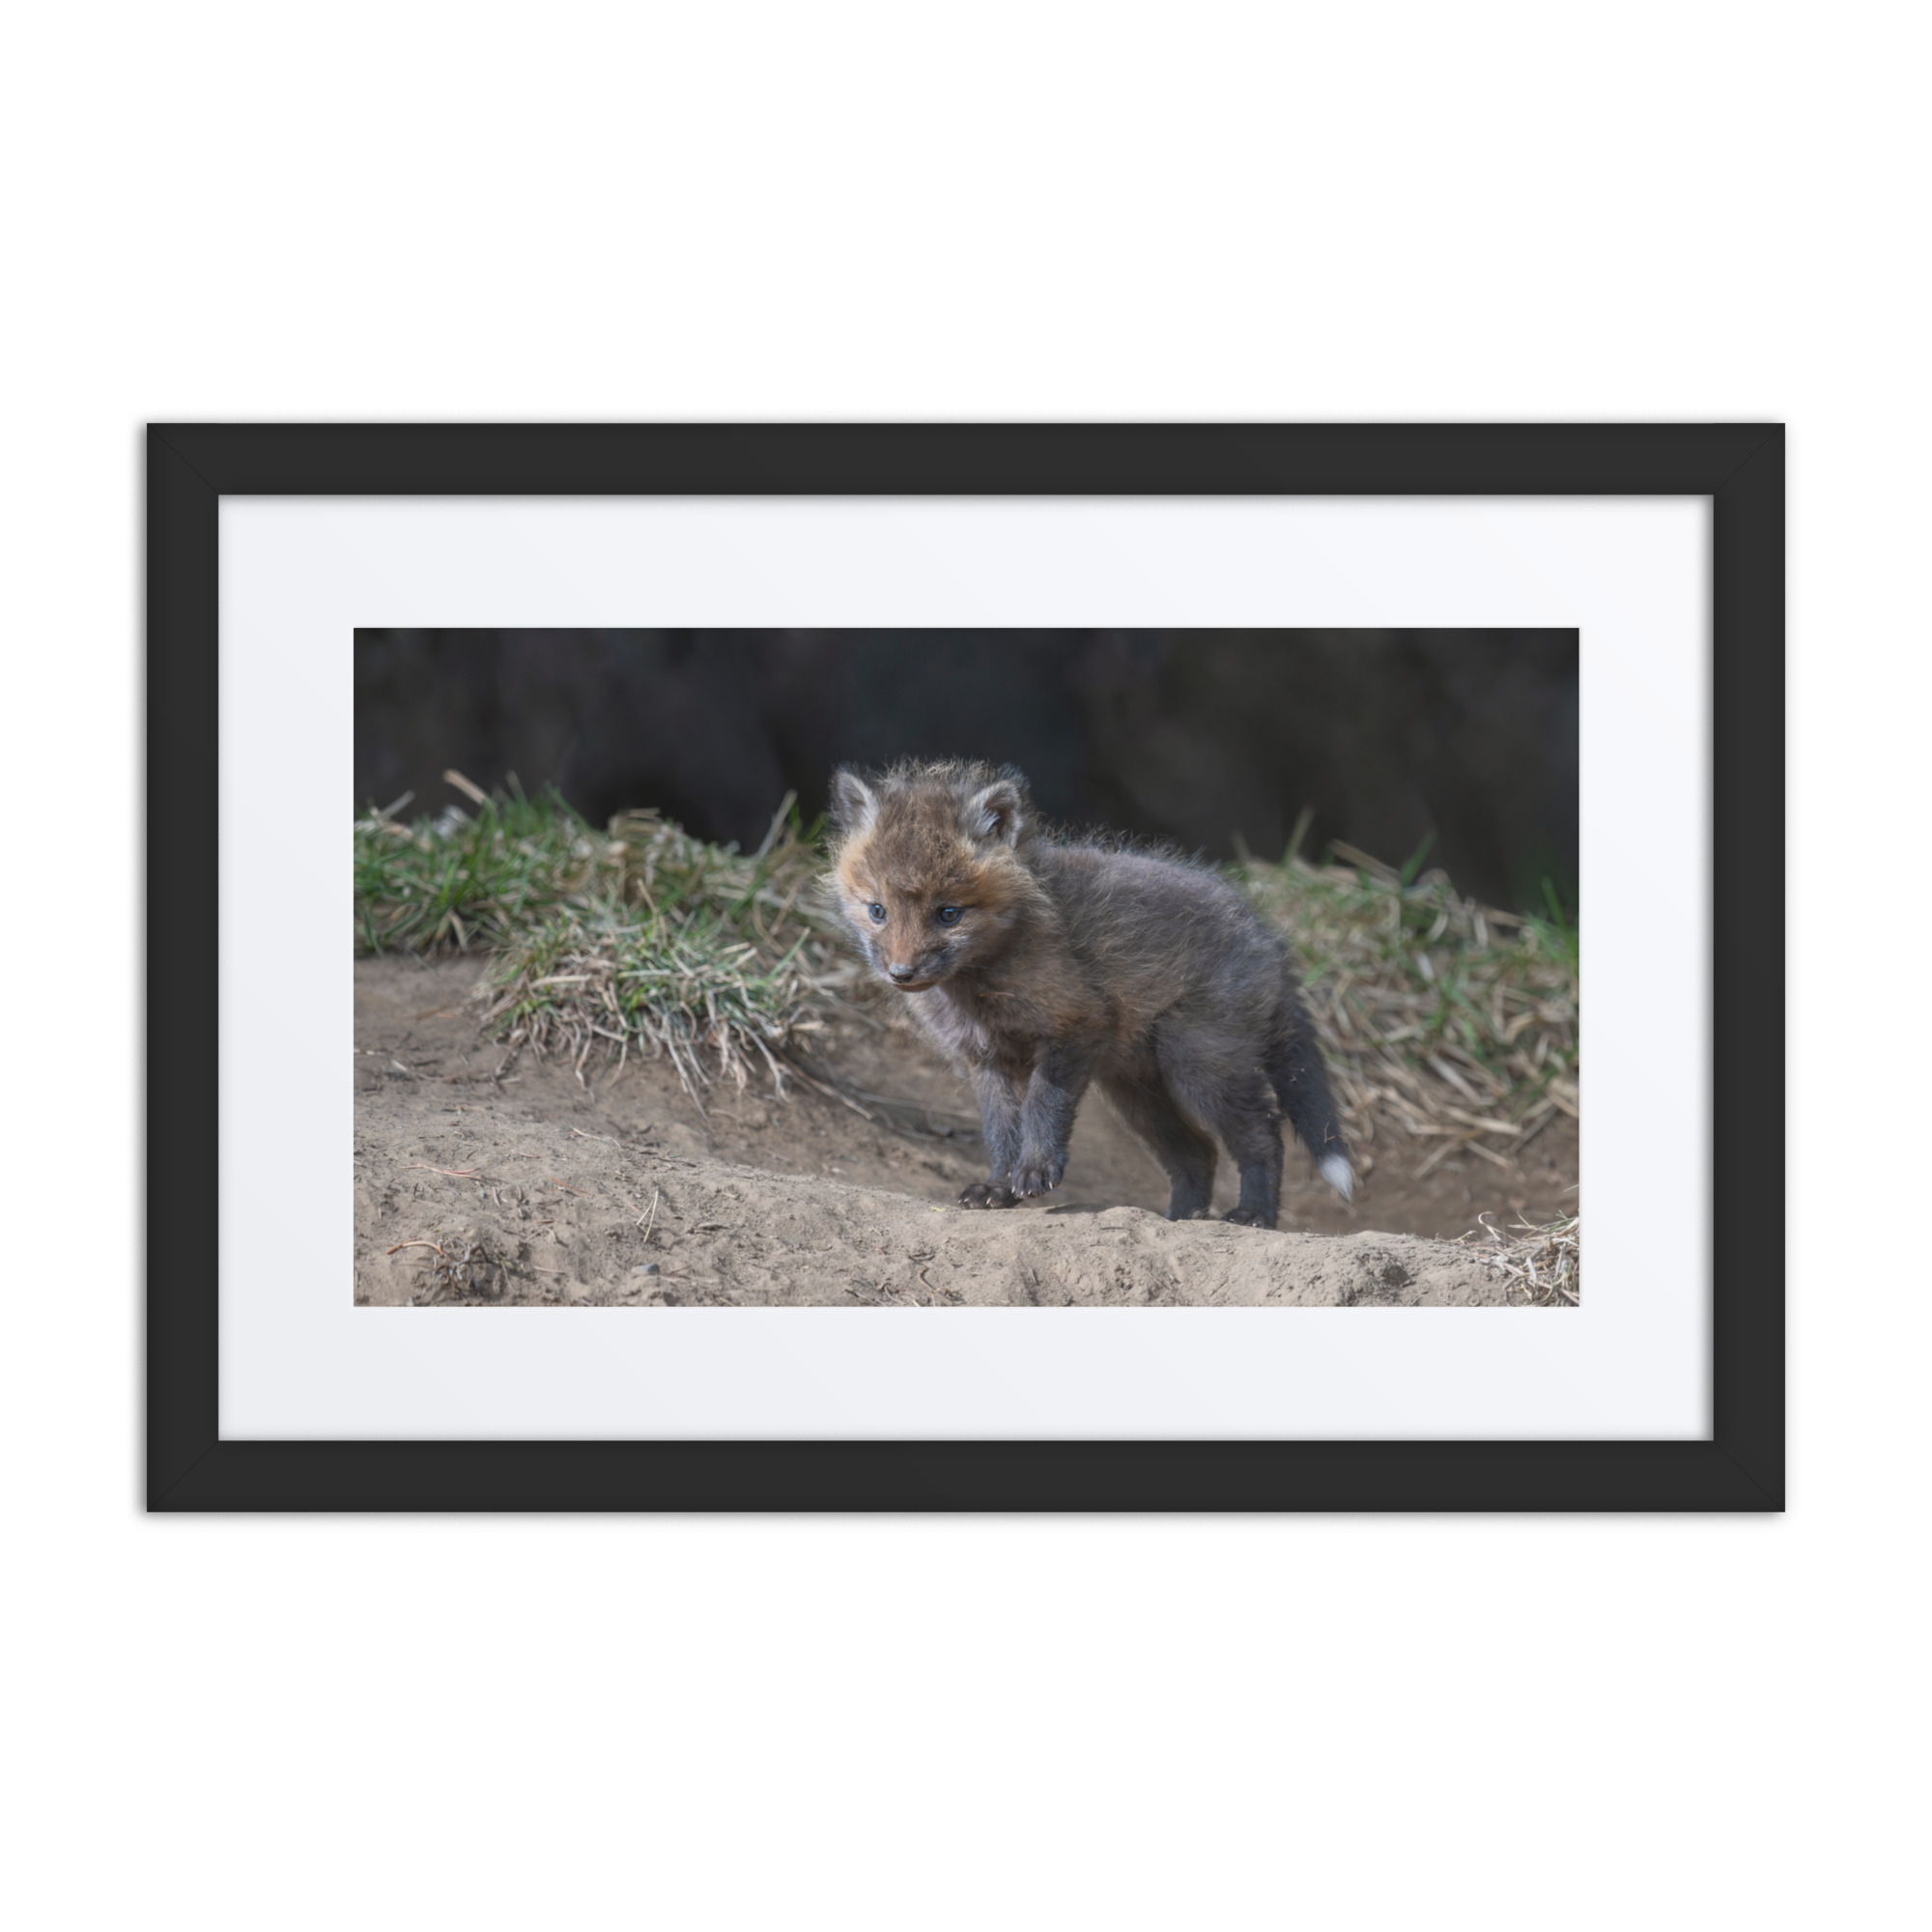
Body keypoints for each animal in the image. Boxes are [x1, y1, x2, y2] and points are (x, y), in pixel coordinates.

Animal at [826, 759, 1354, 1227]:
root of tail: (1268, 938)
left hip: (1199, 1066)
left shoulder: (1076, 1025)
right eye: (877, 911)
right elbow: (1000, 1131)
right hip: (1137, 1092)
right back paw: (1182, 1219)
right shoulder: (986, 1059)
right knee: (1198, 1152)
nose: (901, 973)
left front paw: (1036, 1171)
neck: (980, 988)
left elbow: (1042, 1107)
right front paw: (998, 1187)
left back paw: (1254, 1215)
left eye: (948, 914)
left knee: (1263, 1135)